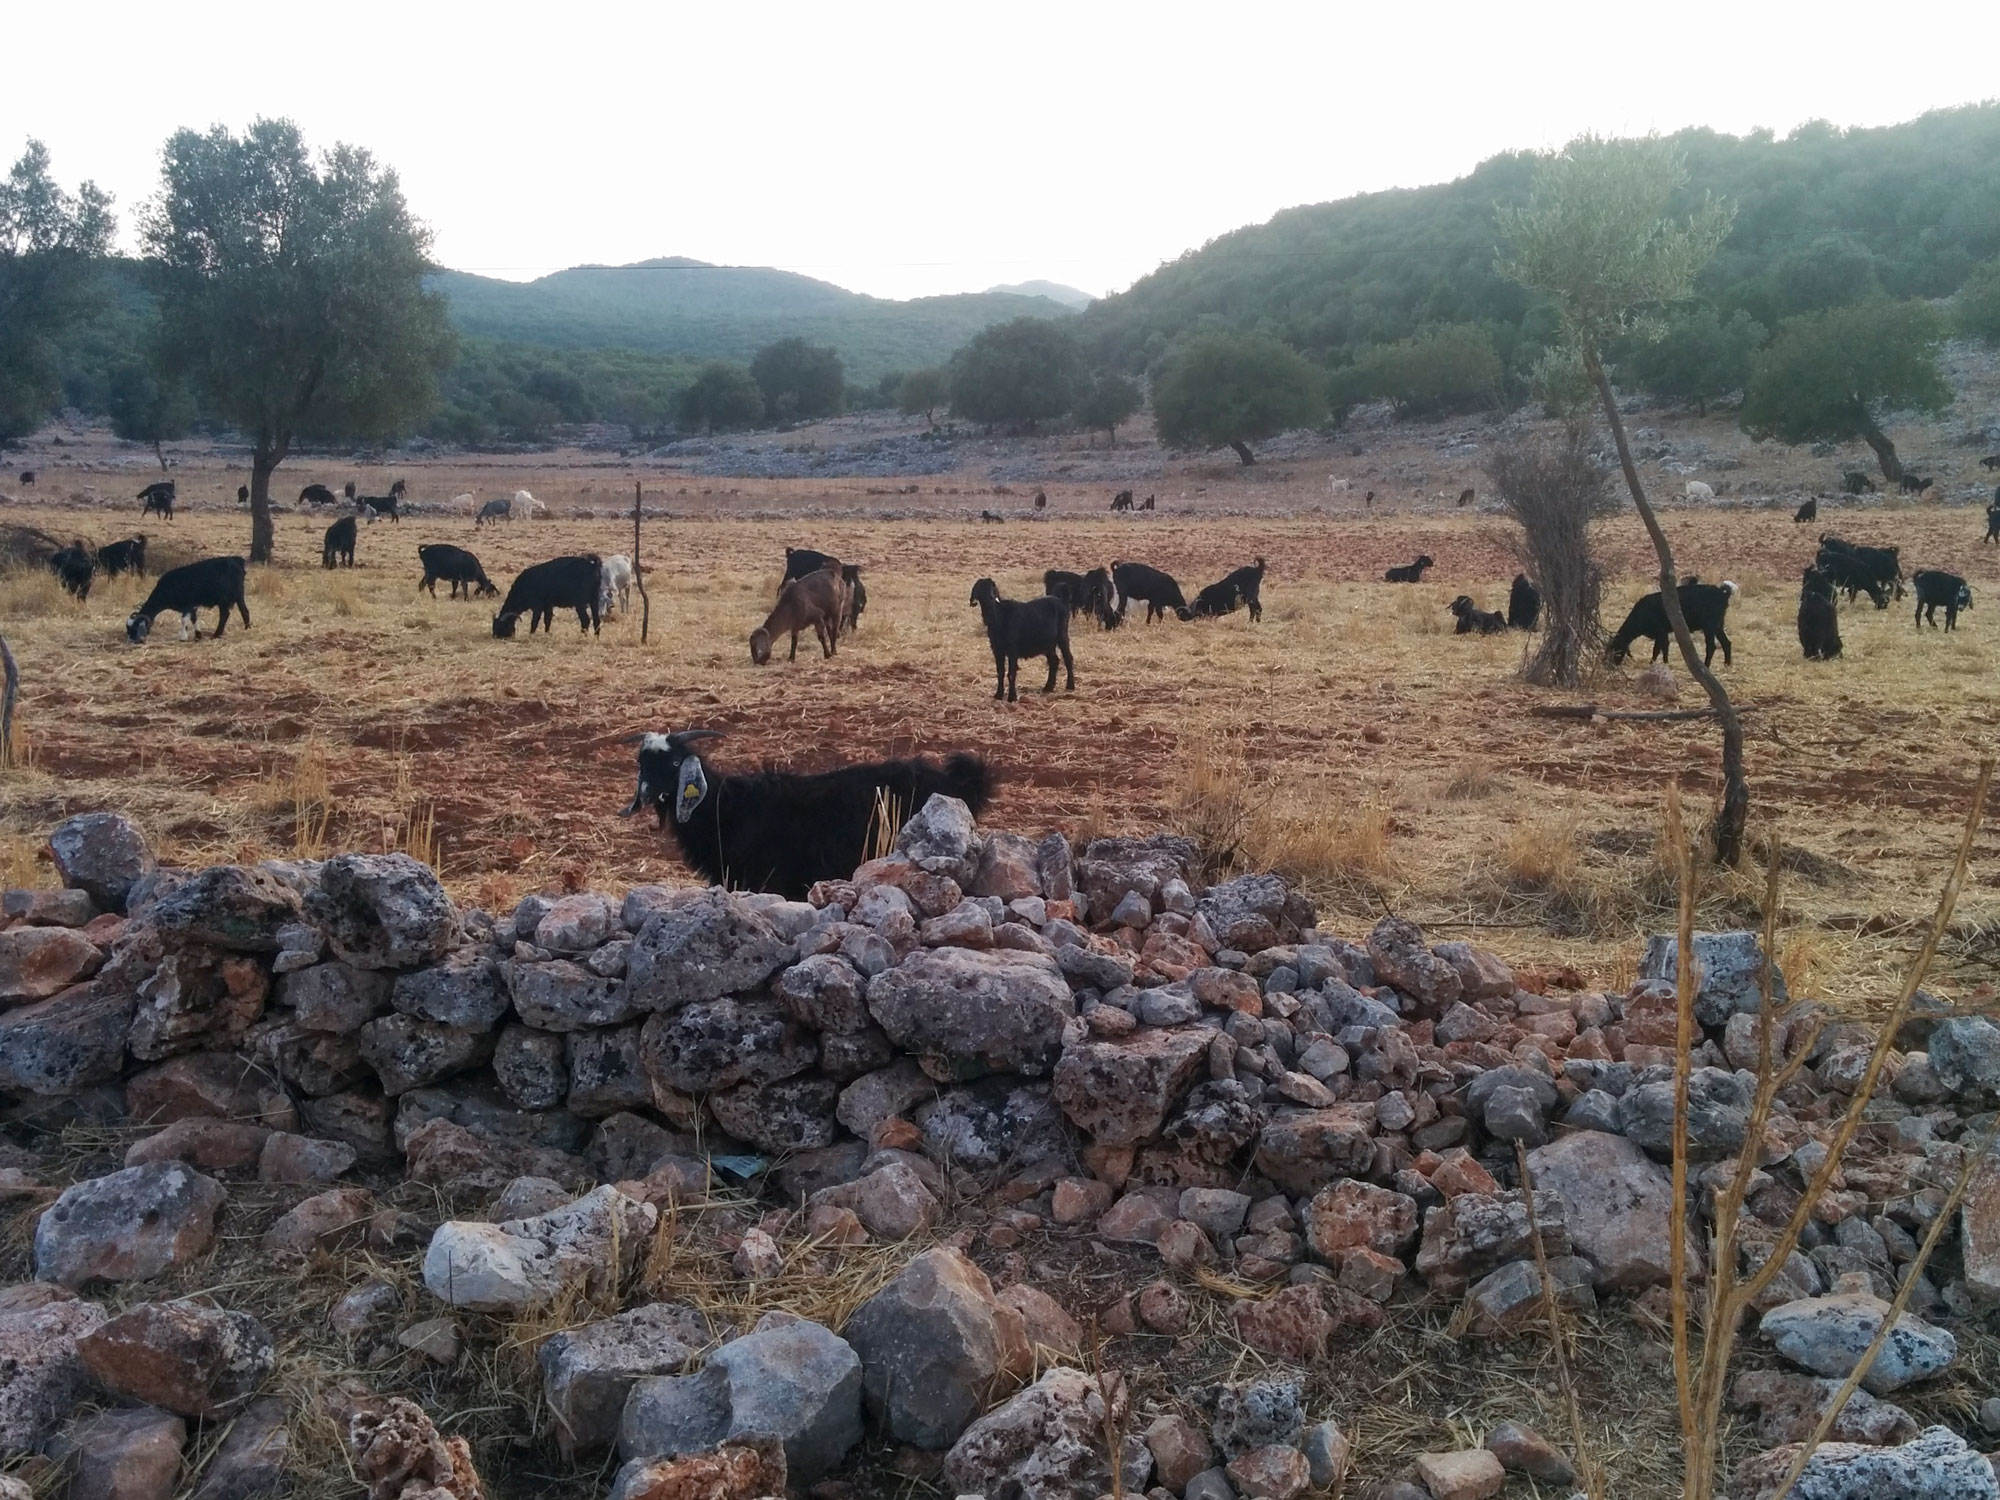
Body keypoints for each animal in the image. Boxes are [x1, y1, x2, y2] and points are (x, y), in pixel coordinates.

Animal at [972, 576, 1080, 704]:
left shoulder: (1012, 649)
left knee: (1068, 658)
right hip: (1048, 643)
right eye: (980, 587)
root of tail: (1062, 601)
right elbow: (1000, 672)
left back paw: (1070, 686)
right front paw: (998, 695)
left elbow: (1011, 674)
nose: (990, 597)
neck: (998, 615)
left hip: (1062, 635)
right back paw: (1048, 687)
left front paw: (1012, 697)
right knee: (1054, 660)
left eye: (993, 587)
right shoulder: (997, 650)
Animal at [1608, 580, 1736, 668]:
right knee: (1726, 643)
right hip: (1718, 625)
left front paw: (1662, 663)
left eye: (1617, 649)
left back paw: (1706, 666)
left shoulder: (1661, 631)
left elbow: (1662, 648)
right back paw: (1727, 665)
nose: (1614, 664)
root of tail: (1723, 593)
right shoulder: (1660, 633)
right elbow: (1659, 648)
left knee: (1711, 646)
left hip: (1709, 625)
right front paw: (1654, 662)